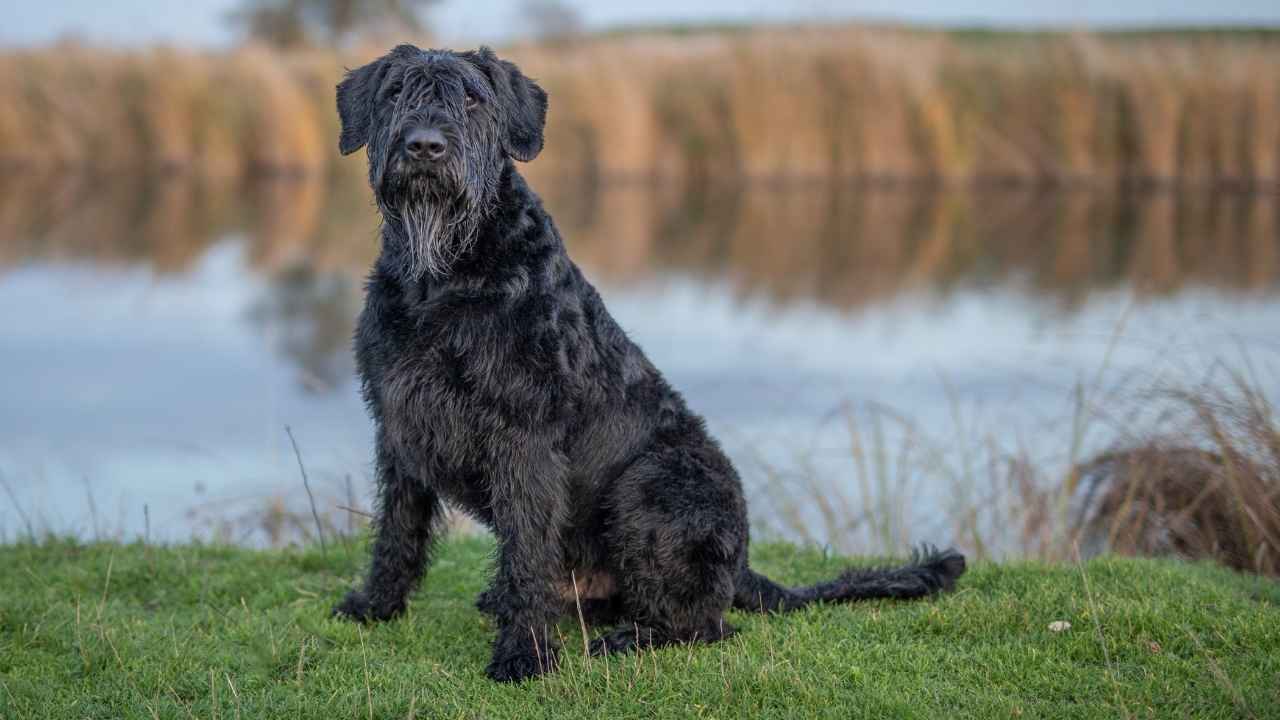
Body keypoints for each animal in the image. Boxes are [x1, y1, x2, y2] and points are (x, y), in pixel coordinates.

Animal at [330, 41, 962, 681]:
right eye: (396, 93)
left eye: (472, 98)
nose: (425, 145)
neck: (444, 277)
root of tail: (741, 565)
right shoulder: (399, 422)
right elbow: (398, 530)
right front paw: (376, 605)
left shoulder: (523, 436)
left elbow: (527, 550)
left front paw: (523, 653)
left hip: (652, 485)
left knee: (702, 623)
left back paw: (624, 639)